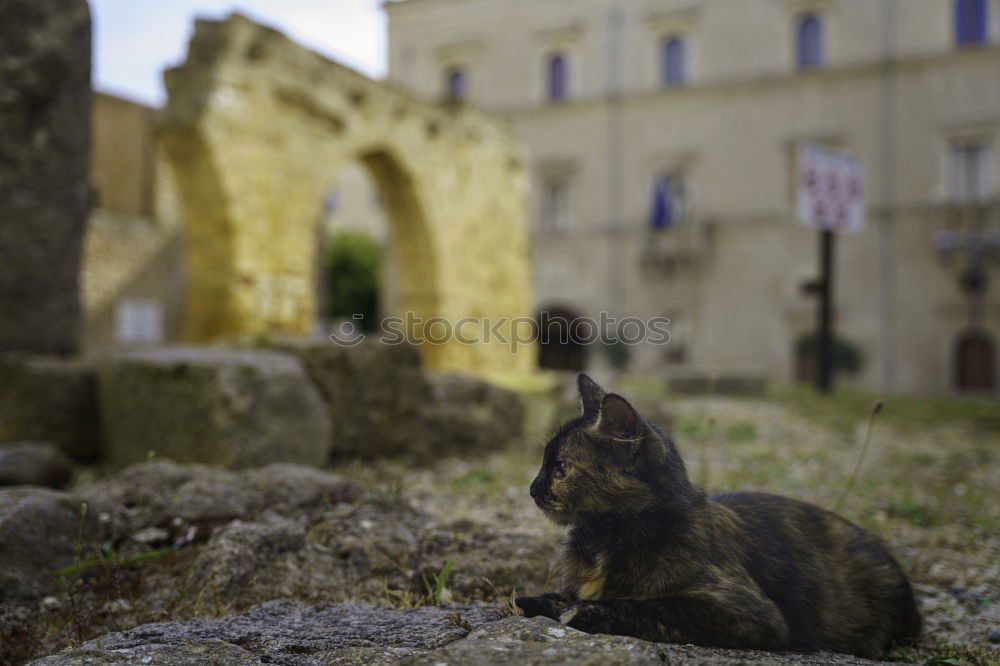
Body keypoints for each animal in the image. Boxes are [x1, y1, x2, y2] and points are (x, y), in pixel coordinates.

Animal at [520, 376, 916, 656]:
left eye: (561, 468)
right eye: (545, 462)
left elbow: (654, 605)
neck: (602, 539)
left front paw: (589, 611)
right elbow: (555, 596)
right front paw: (536, 600)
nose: (532, 488)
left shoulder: (747, 612)